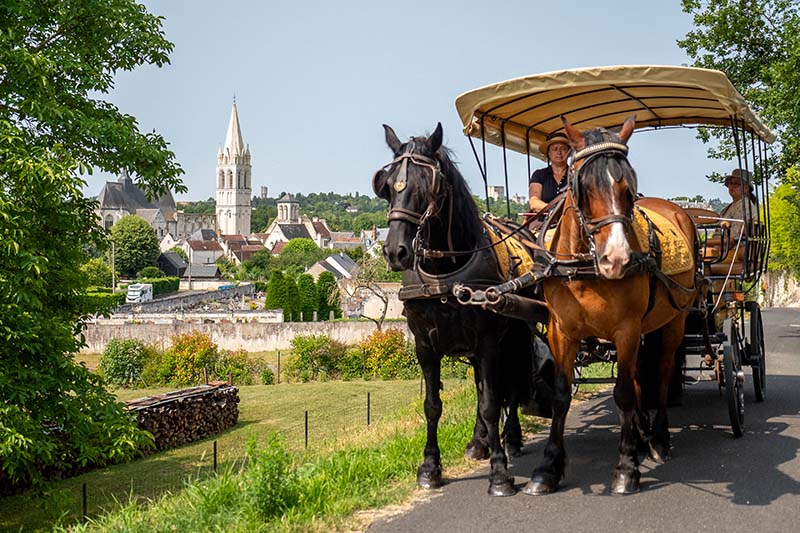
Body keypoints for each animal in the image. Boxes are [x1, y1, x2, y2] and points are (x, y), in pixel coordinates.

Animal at [374, 122, 552, 496]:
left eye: (428, 185)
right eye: (387, 184)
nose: (396, 251)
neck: (446, 271)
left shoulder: (487, 342)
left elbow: (491, 402)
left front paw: (499, 473)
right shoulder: (425, 346)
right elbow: (433, 405)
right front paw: (430, 467)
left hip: (514, 334)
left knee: (510, 388)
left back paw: (510, 439)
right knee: (486, 386)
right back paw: (479, 442)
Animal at [528, 116, 704, 494]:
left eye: (629, 188)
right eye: (583, 186)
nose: (617, 259)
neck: (585, 268)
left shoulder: (626, 329)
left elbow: (622, 393)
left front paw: (626, 467)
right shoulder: (562, 332)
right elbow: (561, 395)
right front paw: (548, 468)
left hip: (674, 321)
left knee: (663, 372)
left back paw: (659, 438)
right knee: (640, 376)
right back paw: (642, 435)